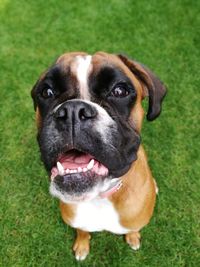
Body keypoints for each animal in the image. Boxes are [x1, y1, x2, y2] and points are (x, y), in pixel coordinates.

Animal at [30, 52, 166, 262]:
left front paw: (133, 237)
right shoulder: (78, 222)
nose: (72, 111)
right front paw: (82, 246)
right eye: (47, 92)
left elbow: (133, 229)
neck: (100, 196)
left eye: (119, 91)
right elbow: (82, 232)